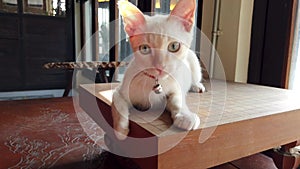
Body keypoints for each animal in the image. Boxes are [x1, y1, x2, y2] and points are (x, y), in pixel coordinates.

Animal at [111, 0, 205, 140]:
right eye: (144, 48)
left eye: (174, 46)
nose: (160, 66)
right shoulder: (119, 91)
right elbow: (118, 104)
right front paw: (120, 129)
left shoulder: (176, 87)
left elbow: (177, 99)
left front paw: (185, 116)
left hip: (193, 61)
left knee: (195, 77)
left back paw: (197, 85)